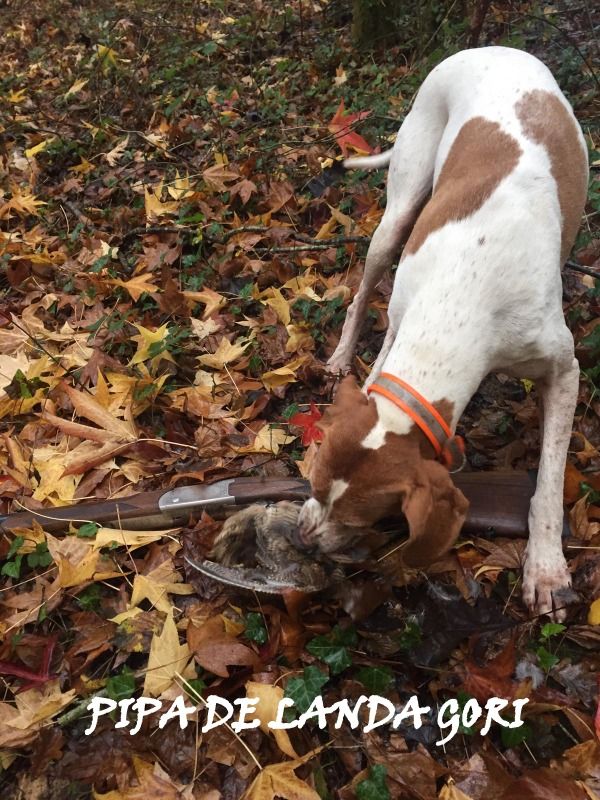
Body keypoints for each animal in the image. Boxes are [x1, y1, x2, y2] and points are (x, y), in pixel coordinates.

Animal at [298, 45, 588, 620]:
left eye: (360, 519)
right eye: (314, 485)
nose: (301, 540)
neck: (464, 288)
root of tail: (488, 48)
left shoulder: (565, 371)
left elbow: (547, 483)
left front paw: (546, 568)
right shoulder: (405, 308)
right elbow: (382, 350)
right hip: (397, 215)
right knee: (361, 295)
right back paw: (341, 354)